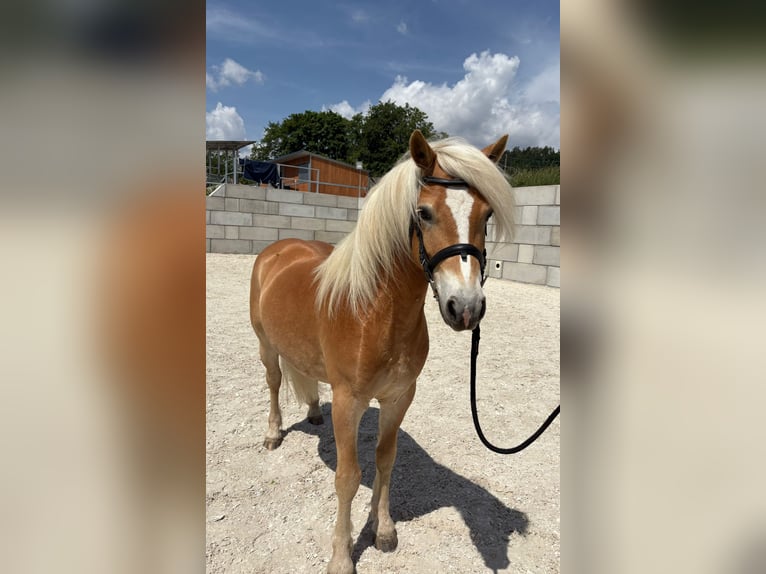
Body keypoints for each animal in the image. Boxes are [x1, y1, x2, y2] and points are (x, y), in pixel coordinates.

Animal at [249, 130, 515, 574]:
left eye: (487, 214)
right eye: (424, 213)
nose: (466, 308)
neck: (374, 313)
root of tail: (280, 249)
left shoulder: (398, 398)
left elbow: (386, 460)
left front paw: (384, 530)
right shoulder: (349, 402)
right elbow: (347, 477)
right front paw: (342, 557)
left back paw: (314, 412)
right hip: (266, 346)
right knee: (273, 383)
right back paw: (273, 434)